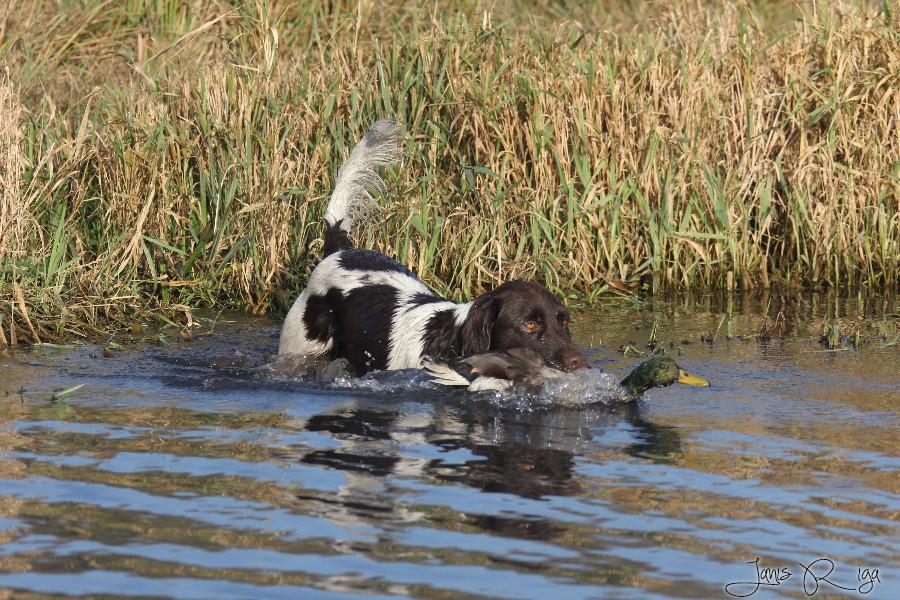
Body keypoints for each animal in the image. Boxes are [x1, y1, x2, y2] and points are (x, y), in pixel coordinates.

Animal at [278, 120, 588, 375]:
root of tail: (339, 249)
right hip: (300, 346)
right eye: (529, 324)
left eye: (564, 322)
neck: (450, 337)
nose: (579, 361)